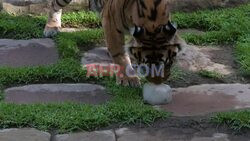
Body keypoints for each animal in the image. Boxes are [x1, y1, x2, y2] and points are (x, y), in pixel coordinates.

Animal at [44, 0, 186, 86]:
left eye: (169, 63)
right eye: (145, 64)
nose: (157, 83)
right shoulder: (111, 21)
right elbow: (119, 53)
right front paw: (129, 79)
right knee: (54, 5)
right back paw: (51, 27)